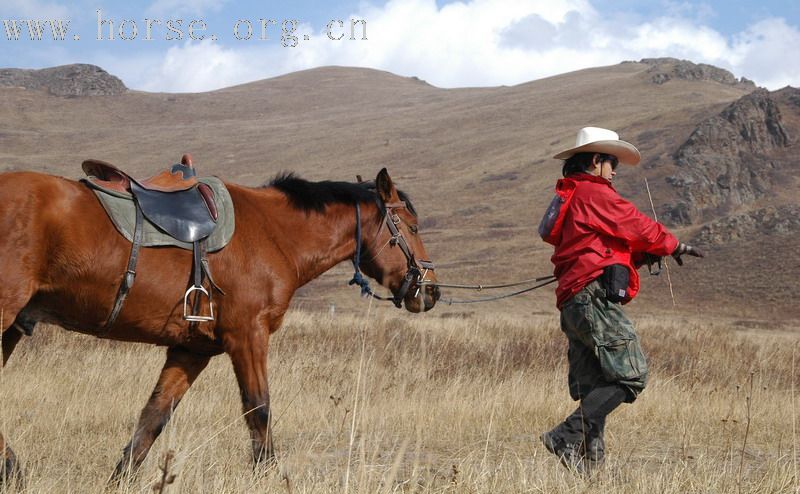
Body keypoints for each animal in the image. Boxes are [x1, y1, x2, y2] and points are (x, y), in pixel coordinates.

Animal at [0, 167, 438, 482]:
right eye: (413, 227)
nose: (429, 290)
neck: (275, 234)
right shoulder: (248, 336)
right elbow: (258, 408)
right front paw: (267, 475)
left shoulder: (192, 350)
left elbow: (154, 416)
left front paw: (120, 478)